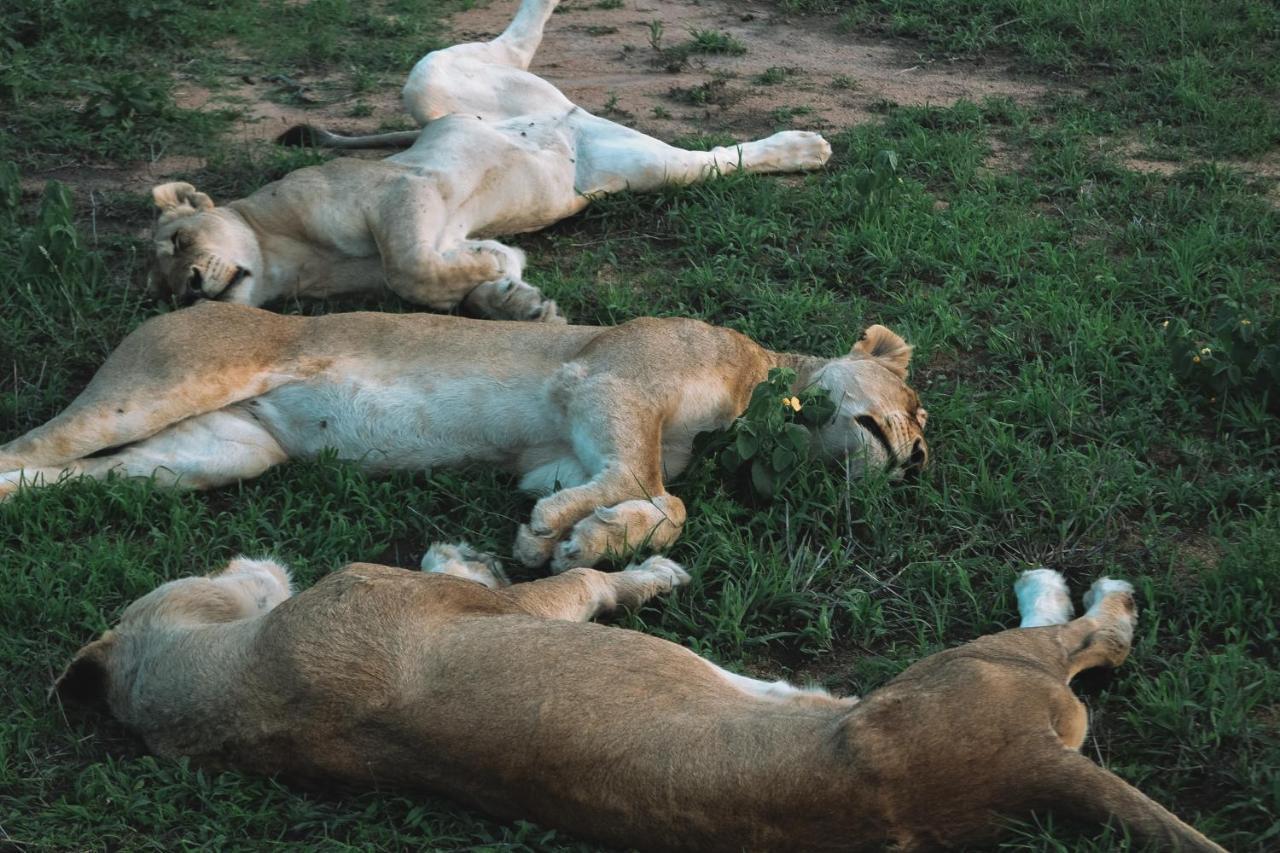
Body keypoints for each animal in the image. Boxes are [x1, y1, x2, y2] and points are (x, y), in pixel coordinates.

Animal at [0, 302, 926, 568]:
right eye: (917, 410)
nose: (915, 462)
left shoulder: (560, 455)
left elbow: (667, 503)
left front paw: (583, 540)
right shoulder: (608, 381)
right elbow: (650, 481)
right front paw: (563, 535)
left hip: (212, 455)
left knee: (64, 474)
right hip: (164, 385)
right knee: (25, 447)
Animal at [55, 548, 1223, 845]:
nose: (248, 558)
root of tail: (1029, 767)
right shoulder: (480, 604)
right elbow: (571, 584)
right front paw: (650, 573)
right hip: (964, 673)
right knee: (1089, 635)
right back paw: (1074, 587)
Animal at [149, 0, 829, 318]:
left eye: (179, 241)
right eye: (163, 288)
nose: (189, 291)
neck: (287, 262)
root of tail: (564, 114)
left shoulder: (402, 188)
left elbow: (408, 265)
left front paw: (497, 259)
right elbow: (444, 285)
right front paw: (511, 296)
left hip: (429, 82)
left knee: (512, 43)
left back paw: (805, 146)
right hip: (633, 166)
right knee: (708, 159)